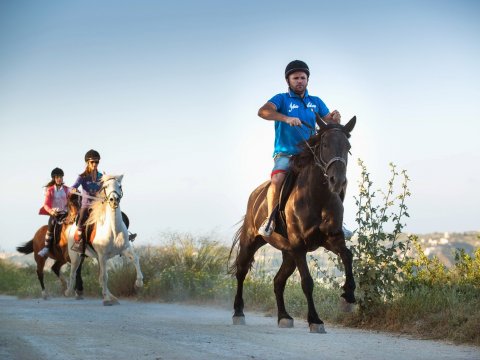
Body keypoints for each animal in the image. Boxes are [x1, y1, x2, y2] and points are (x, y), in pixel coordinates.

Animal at [63, 176, 143, 306]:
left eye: (120, 186)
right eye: (105, 186)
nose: (113, 200)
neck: (113, 230)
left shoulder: (125, 248)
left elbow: (135, 259)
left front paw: (139, 282)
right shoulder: (102, 255)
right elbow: (105, 276)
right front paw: (106, 299)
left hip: (96, 258)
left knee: (99, 277)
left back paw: (113, 297)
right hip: (76, 256)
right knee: (73, 273)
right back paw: (69, 291)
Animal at [229, 114, 356, 332]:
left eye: (347, 146)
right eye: (324, 144)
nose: (337, 181)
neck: (318, 196)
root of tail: (255, 194)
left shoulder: (331, 239)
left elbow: (348, 256)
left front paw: (348, 295)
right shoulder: (299, 245)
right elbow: (307, 282)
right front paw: (315, 320)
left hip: (288, 254)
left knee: (278, 281)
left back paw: (284, 317)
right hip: (251, 242)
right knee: (241, 271)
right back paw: (238, 313)